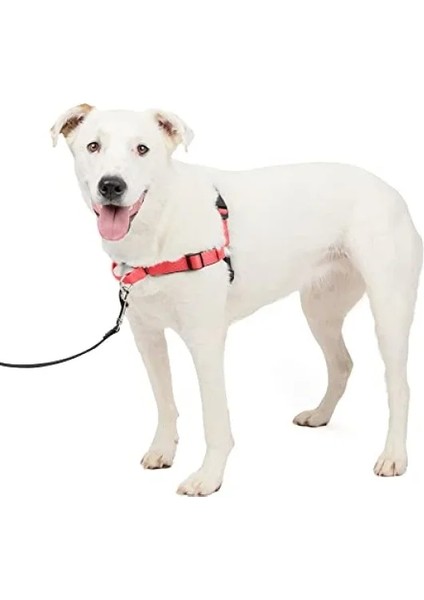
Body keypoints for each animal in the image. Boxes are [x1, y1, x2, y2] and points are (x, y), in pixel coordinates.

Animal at [51, 104, 423, 496]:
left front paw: (208, 477)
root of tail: (392, 190)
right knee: (341, 363)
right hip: (320, 308)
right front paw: (163, 450)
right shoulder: (147, 336)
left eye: (142, 149)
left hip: (389, 308)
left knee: (399, 385)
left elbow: (214, 417)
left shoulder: (205, 338)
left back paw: (394, 455)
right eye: (93, 145)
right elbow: (164, 401)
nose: (111, 185)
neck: (159, 227)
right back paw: (320, 415)